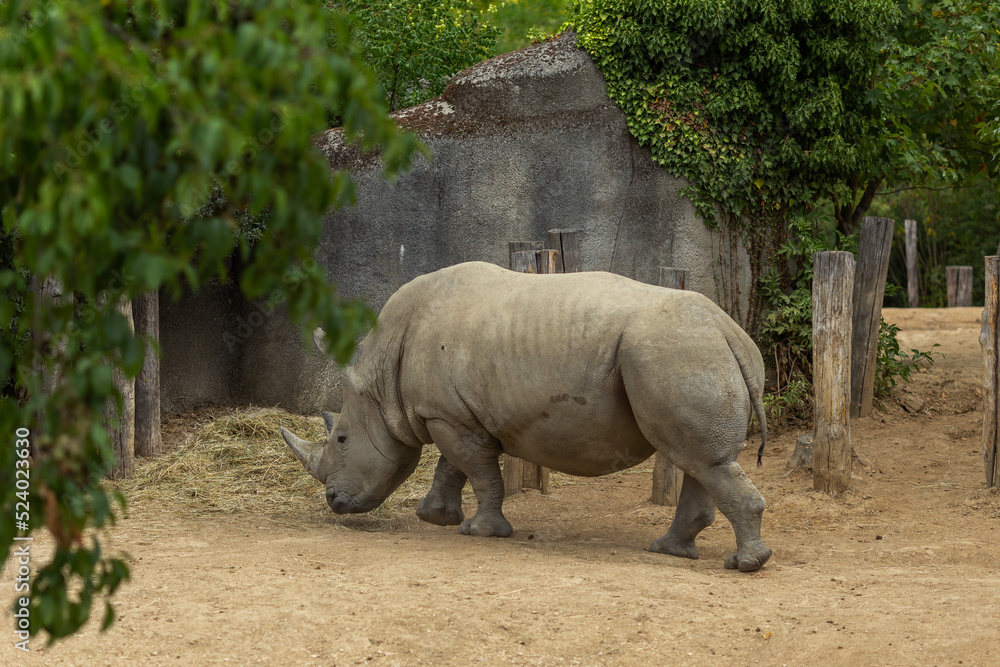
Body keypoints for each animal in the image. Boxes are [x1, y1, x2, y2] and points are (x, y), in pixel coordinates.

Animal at [281, 261, 771, 571]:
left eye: (341, 439)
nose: (334, 503)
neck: (381, 377)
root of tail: (729, 331)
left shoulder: (448, 416)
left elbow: (477, 471)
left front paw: (480, 532)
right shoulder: (455, 413)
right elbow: (453, 466)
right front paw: (434, 517)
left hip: (674, 353)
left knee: (700, 460)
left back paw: (744, 565)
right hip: (691, 352)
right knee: (701, 461)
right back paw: (668, 551)